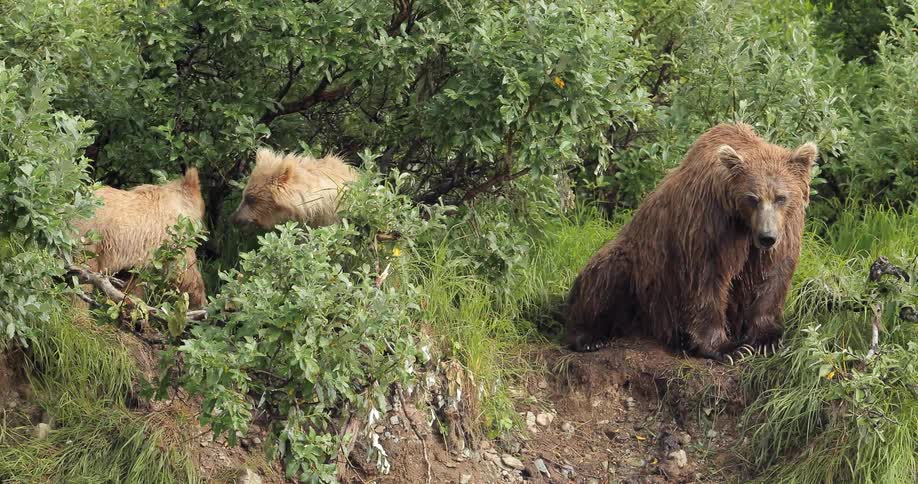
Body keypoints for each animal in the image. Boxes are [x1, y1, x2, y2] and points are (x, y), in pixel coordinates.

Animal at [565, 123, 818, 362]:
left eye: (780, 197)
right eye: (752, 198)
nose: (767, 237)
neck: (742, 222)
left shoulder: (784, 229)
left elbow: (772, 274)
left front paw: (766, 339)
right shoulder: (708, 223)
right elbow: (706, 279)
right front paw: (728, 348)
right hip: (639, 268)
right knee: (607, 273)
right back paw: (588, 337)